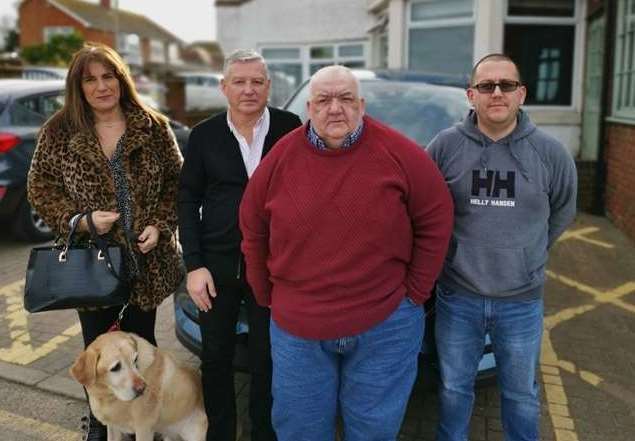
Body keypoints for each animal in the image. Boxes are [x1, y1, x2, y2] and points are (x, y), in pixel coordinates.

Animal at [71, 330, 206, 440]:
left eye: (135, 360)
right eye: (115, 367)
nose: (143, 388)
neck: (110, 395)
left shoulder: (144, 428)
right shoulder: (113, 427)